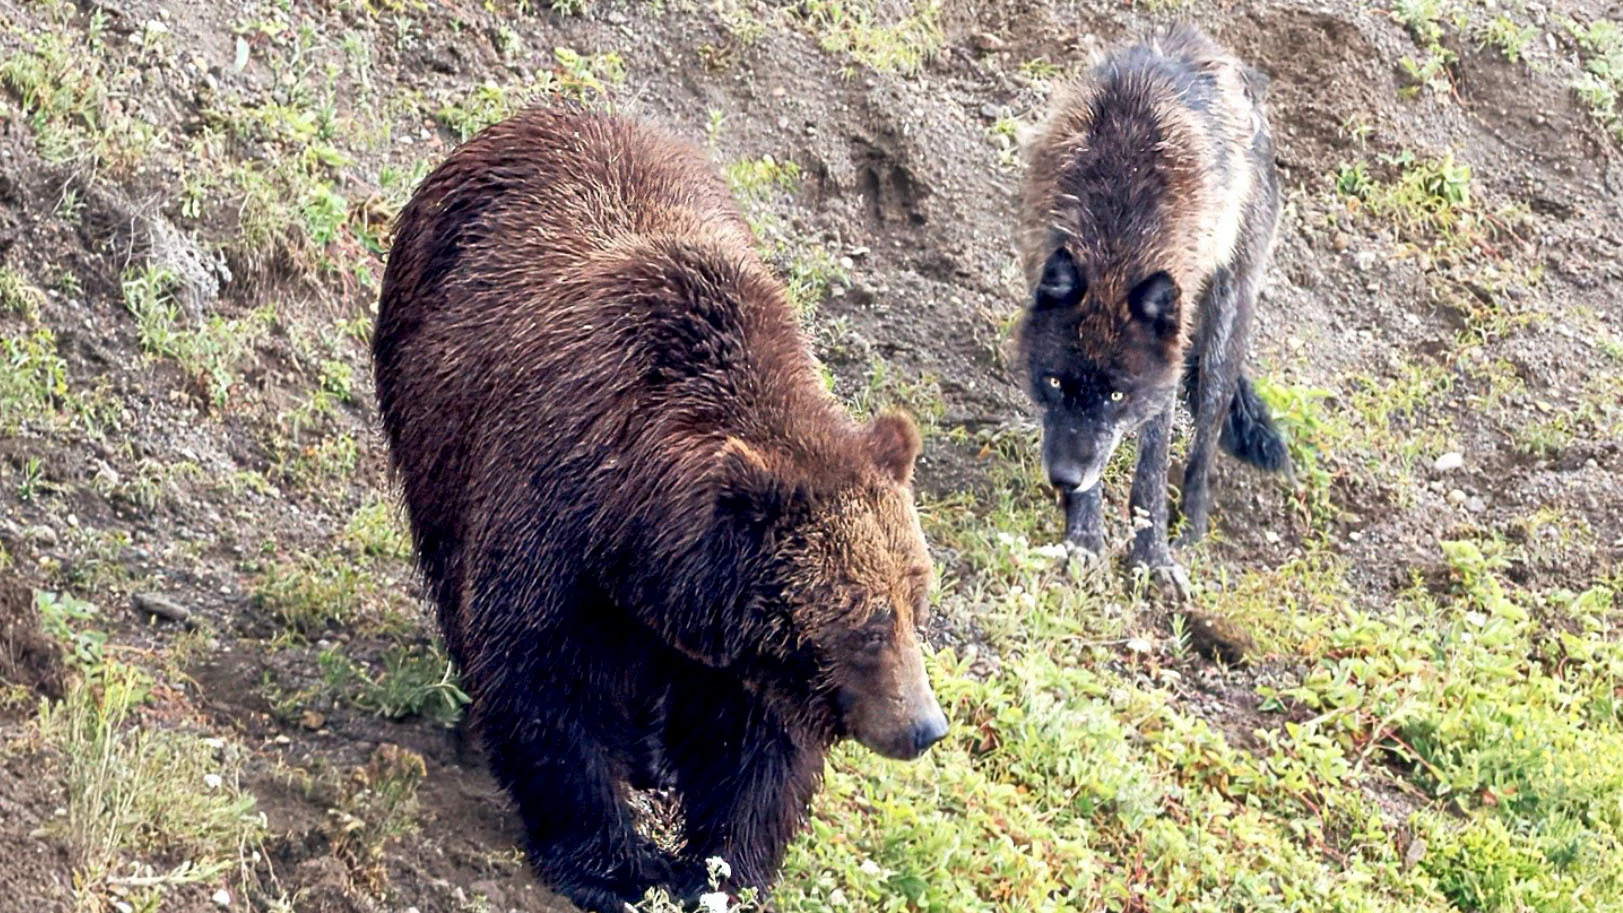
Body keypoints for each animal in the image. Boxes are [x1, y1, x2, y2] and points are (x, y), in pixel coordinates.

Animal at [371, 106, 948, 912]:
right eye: (867, 622)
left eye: (917, 605)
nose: (924, 726)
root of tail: (540, 112)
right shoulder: (555, 531)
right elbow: (547, 687)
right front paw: (615, 863)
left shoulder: (742, 639)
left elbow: (756, 744)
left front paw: (720, 866)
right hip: (431, 416)